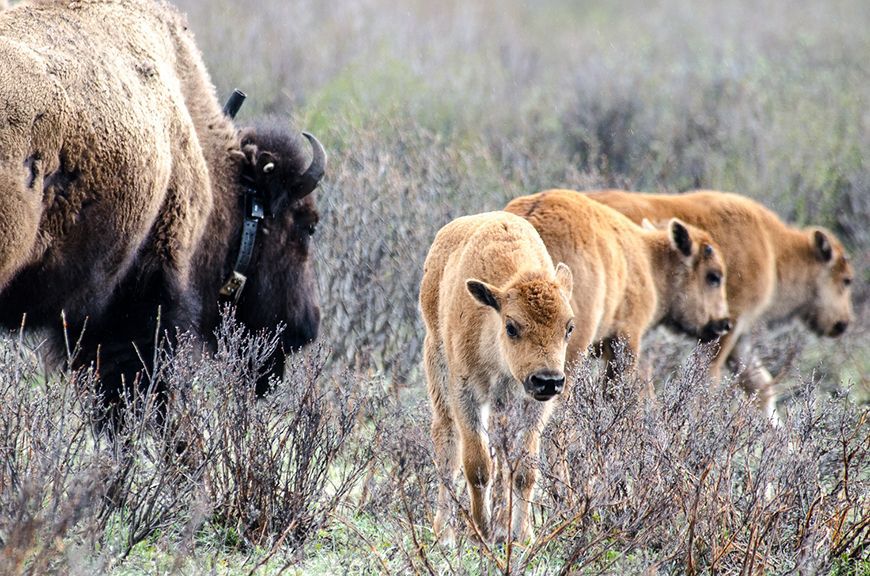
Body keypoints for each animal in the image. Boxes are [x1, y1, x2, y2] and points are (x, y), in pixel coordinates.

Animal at [419, 211, 576, 545]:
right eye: (512, 326)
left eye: (568, 327)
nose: (548, 380)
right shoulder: (466, 393)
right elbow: (478, 465)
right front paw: (481, 531)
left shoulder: (533, 405)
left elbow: (524, 469)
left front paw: (521, 534)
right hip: (437, 365)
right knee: (447, 441)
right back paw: (446, 531)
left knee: (504, 459)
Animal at [585, 189, 854, 422]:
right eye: (846, 280)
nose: (843, 323)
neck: (772, 249)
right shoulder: (725, 331)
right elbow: (707, 383)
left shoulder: (740, 337)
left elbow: (761, 387)